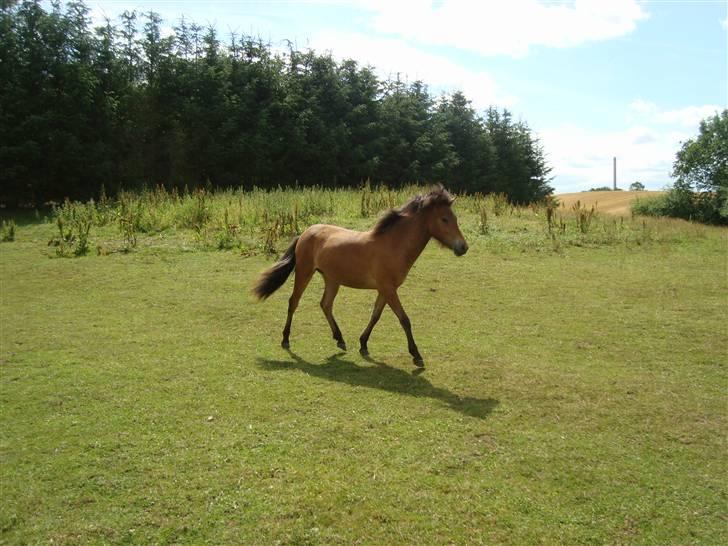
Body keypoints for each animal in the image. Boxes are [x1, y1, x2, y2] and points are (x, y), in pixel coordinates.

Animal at [253, 185, 470, 368]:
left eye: (455, 218)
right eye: (444, 219)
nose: (463, 247)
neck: (393, 245)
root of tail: (306, 232)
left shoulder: (386, 289)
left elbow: (375, 315)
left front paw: (363, 344)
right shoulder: (389, 289)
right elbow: (404, 319)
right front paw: (416, 355)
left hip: (332, 279)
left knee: (325, 304)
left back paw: (340, 339)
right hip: (304, 272)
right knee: (294, 302)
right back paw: (285, 339)